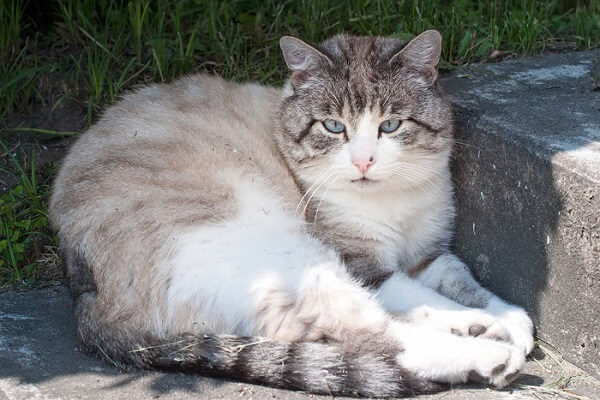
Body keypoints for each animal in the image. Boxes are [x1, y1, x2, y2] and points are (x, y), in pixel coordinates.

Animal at [49, 31, 532, 396]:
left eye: (390, 126)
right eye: (333, 127)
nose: (363, 162)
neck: (393, 201)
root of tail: (85, 295)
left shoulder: (428, 253)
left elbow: (463, 281)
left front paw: (512, 319)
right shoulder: (362, 263)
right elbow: (417, 297)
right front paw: (499, 327)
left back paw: (482, 333)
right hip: (285, 253)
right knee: (374, 334)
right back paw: (489, 351)